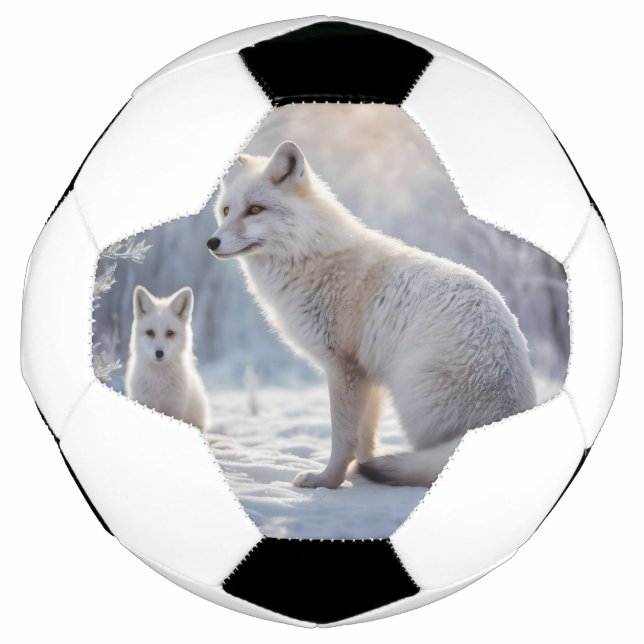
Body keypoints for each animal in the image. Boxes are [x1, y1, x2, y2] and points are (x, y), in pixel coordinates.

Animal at [207, 140, 536, 488]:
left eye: (255, 210)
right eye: (226, 210)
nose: (212, 242)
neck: (309, 256)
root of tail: (510, 406)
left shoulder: (343, 367)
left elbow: (344, 438)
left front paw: (328, 481)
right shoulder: (367, 375)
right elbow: (365, 439)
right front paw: (360, 474)